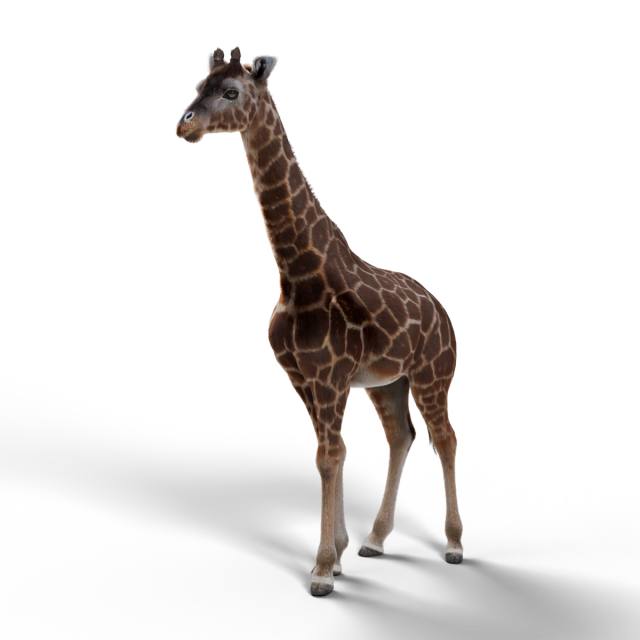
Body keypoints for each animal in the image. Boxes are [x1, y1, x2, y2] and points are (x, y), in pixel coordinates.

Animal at [175, 47, 464, 595]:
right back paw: (376, 538)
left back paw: (455, 542)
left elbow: (330, 456)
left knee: (445, 438)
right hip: (387, 382)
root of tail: (440, 309)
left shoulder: (330, 377)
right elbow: (331, 454)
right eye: (199, 84)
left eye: (231, 92)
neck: (297, 272)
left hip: (431, 373)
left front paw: (323, 568)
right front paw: (342, 550)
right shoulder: (304, 379)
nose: (185, 124)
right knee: (402, 437)